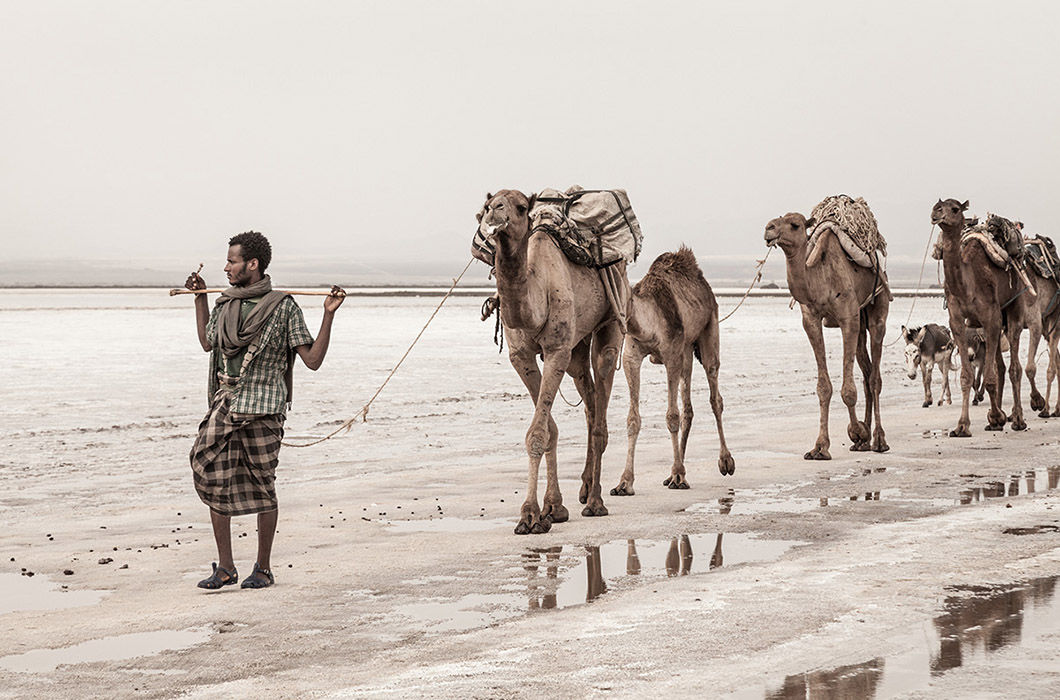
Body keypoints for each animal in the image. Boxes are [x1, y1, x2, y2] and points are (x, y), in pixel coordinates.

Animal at [474, 188, 627, 532]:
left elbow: (539, 431)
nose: (494, 213)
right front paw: (553, 508)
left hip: (611, 323)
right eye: (487, 204)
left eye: (520, 207)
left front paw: (529, 514)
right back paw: (584, 487)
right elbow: (549, 428)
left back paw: (596, 501)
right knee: (590, 403)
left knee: (600, 411)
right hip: (577, 350)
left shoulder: (557, 349)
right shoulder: (521, 356)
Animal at [610, 246, 733, 498]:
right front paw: (624, 483)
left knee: (715, 394)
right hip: (686, 350)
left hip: (709, 329)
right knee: (688, 407)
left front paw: (679, 476)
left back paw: (724, 461)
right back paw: (672, 472)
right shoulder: (631, 356)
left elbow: (671, 416)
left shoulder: (671, 354)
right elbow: (633, 419)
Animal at [767, 204, 890, 456]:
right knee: (866, 372)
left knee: (874, 377)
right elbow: (823, 387)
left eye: (795, 224)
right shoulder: (811, 321)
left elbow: (848, 390)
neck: (820, 279)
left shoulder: (848, 318)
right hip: (861, 322)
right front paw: (820, 447)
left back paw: (878, 440)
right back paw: (863, 443)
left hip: (878, 308)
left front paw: (857, 431)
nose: (769, 229)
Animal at [932, 197, 1030, 434]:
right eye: (937, 205)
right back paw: (1002, 414)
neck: (967, 285)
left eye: (954, 209)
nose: (935, 213)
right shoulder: (958, 323)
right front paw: (962, 426)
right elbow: (968, 376)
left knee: (1014, 366)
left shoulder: (990, 317)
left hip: (1014, 306)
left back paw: (1017, 419)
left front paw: (996, 417)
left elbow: (990, 377)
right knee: (1000, 366)